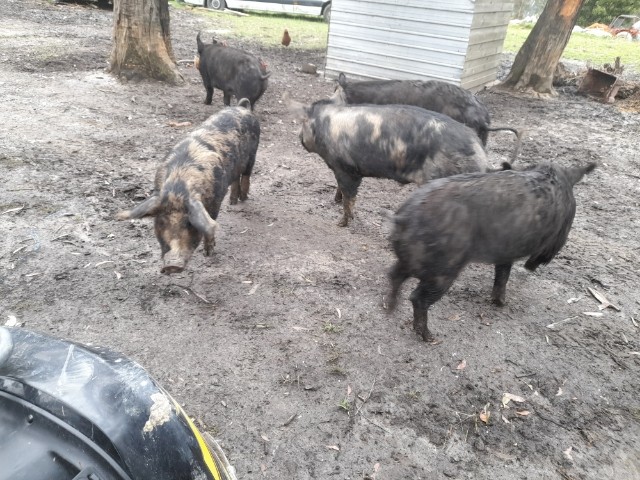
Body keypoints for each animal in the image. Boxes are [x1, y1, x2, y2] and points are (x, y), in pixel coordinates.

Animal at [116, 99, 260, 274]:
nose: (172, 265)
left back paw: (243, 198)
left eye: (189, 223)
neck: (179, 186)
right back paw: (233, 202)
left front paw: (208, 253)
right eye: (161, 222)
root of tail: (241, 107)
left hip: (253, 153)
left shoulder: (215, 200)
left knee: (246, 175)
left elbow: (210, 222)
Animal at [290, 98, 490, 226]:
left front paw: (341, 223)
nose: (299, 136)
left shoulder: (347, 169)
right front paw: (335, 201)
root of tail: (481, 154)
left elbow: (350, 196)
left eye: (303, 123)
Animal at [386, 162, 597, 343]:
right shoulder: (554, 239)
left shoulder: (507, 251)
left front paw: (499, 302)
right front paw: (509, 295)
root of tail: (404, 218)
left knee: (394, 275)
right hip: (443, 271)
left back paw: (390, 309)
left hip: (411, 260)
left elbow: (502, 274)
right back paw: (430, 337)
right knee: (417, 298)